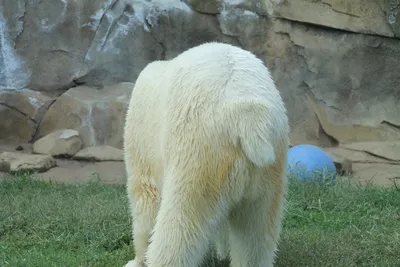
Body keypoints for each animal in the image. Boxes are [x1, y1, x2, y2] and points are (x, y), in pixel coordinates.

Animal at [123, 42, 290, 267]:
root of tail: (246, 115)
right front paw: (222, 251)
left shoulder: (142, 136)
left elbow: (145, 197)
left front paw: (137, 260)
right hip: (269, 167)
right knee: (255, 233)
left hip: (199, 155)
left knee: (180, 223)